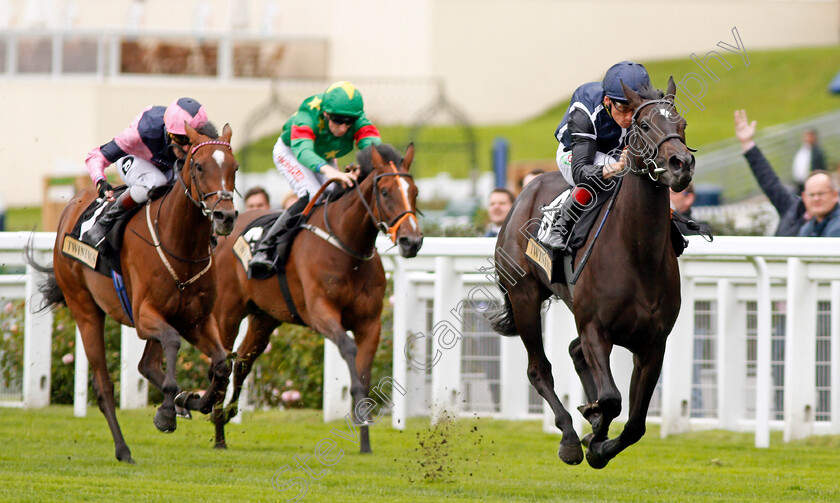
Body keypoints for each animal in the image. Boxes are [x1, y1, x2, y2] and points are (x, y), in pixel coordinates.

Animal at [29, 124, 240, 462]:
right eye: (199, 166)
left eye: (234, 167)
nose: (225, 216)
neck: (180, 243)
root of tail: (70, 208)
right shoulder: (144, 316)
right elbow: (172, 342)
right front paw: (167, 412)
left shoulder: (196, 319)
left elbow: (222, 364)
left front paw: (196, 400)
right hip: (85, 310)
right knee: (104, 387)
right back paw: (123, 449)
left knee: (147, 364)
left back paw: (183, 402)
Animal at [210, 144, 420, 454]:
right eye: (385, 192)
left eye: (415, 191)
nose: (412, 241)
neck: (346, 247)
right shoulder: (321, 312)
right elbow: (348, 350)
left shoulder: (370, 324)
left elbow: (365, 375)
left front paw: (365, 440)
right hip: (228, 312)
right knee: (223, 360)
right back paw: (216, 426)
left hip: (264, 318)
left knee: (243, 363)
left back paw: (225, 418)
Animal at [492, 78, 696, 468]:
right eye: (643, 126)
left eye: (682, 124)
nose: (681, 164)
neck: (637, 254)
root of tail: (523, 191)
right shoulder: (595, 329)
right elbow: (613, 399)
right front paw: (593, 431)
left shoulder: (653, 343)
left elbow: (635, 423)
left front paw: (599, 439)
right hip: (525, 296)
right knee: (539, 369)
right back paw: (570, 438)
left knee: (573, 353)